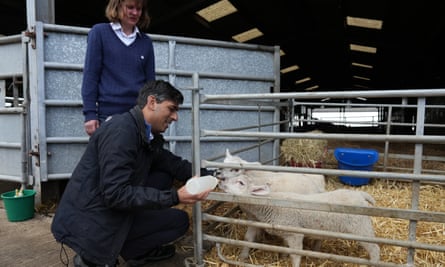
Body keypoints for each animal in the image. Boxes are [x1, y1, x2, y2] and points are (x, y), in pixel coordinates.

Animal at [219, 175, 378, 266]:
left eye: (240, 182)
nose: (221, 182)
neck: (271, 204)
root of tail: (360, 195)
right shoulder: (286, 233)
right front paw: (283, 256)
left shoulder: (295, 234)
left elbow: (295, 255)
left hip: (360, 227)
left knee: (375, 248)